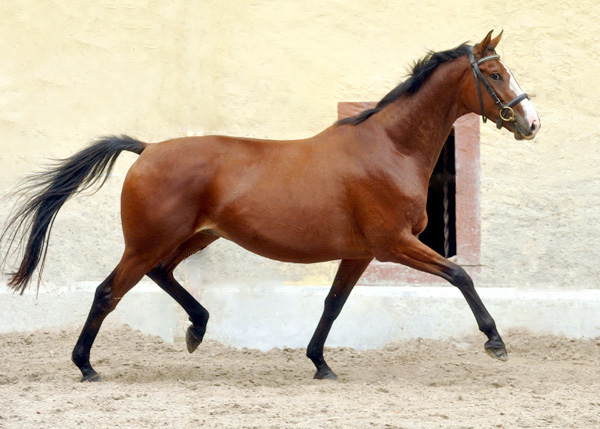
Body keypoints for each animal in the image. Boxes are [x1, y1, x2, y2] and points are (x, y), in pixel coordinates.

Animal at [0, 30, 540, 382]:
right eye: (495, 74)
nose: (531, 123)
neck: (390, 148)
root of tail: (146, 148)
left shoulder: (361, 252)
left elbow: (333, 304)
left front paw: (320, 363)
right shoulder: (394, 244)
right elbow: (461, 275)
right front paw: (495, 342)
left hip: (194, 236)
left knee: (161, 274)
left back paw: (197, 328)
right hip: (148, 241)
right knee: (107, 292)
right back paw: (86, 365)